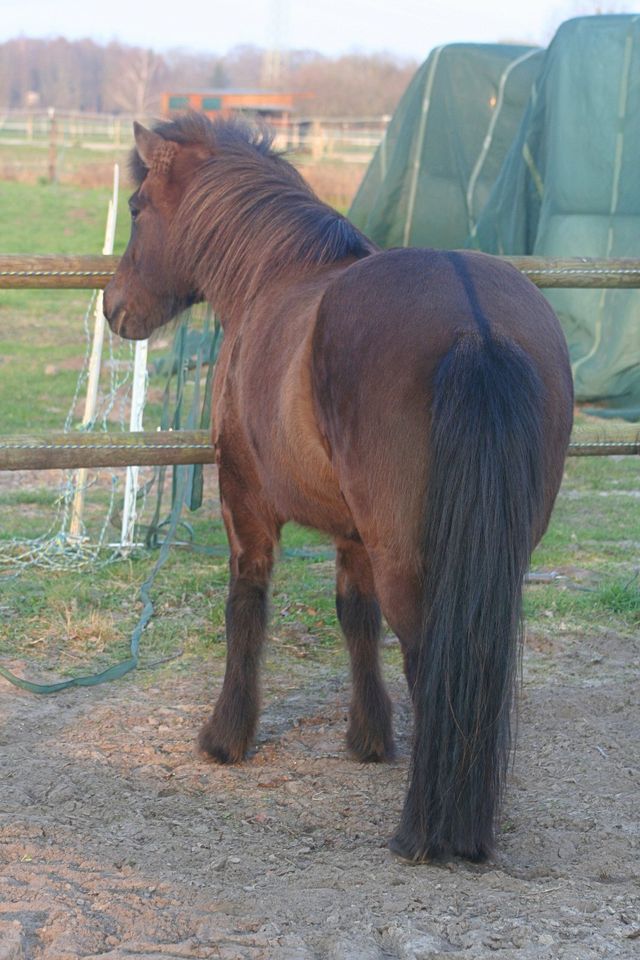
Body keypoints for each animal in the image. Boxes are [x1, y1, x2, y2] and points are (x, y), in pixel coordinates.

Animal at [105, 112, 576, 864]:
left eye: (137, 207)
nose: (114, 308)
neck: (275, 273)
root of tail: (476, 321)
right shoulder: (355, 534)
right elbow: (356, 618)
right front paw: (369, 738)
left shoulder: (245, 502)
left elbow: (246, 608)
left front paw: (225, 737)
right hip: (497, 550)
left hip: (409, 557)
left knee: (432, 660)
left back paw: (426, 832)